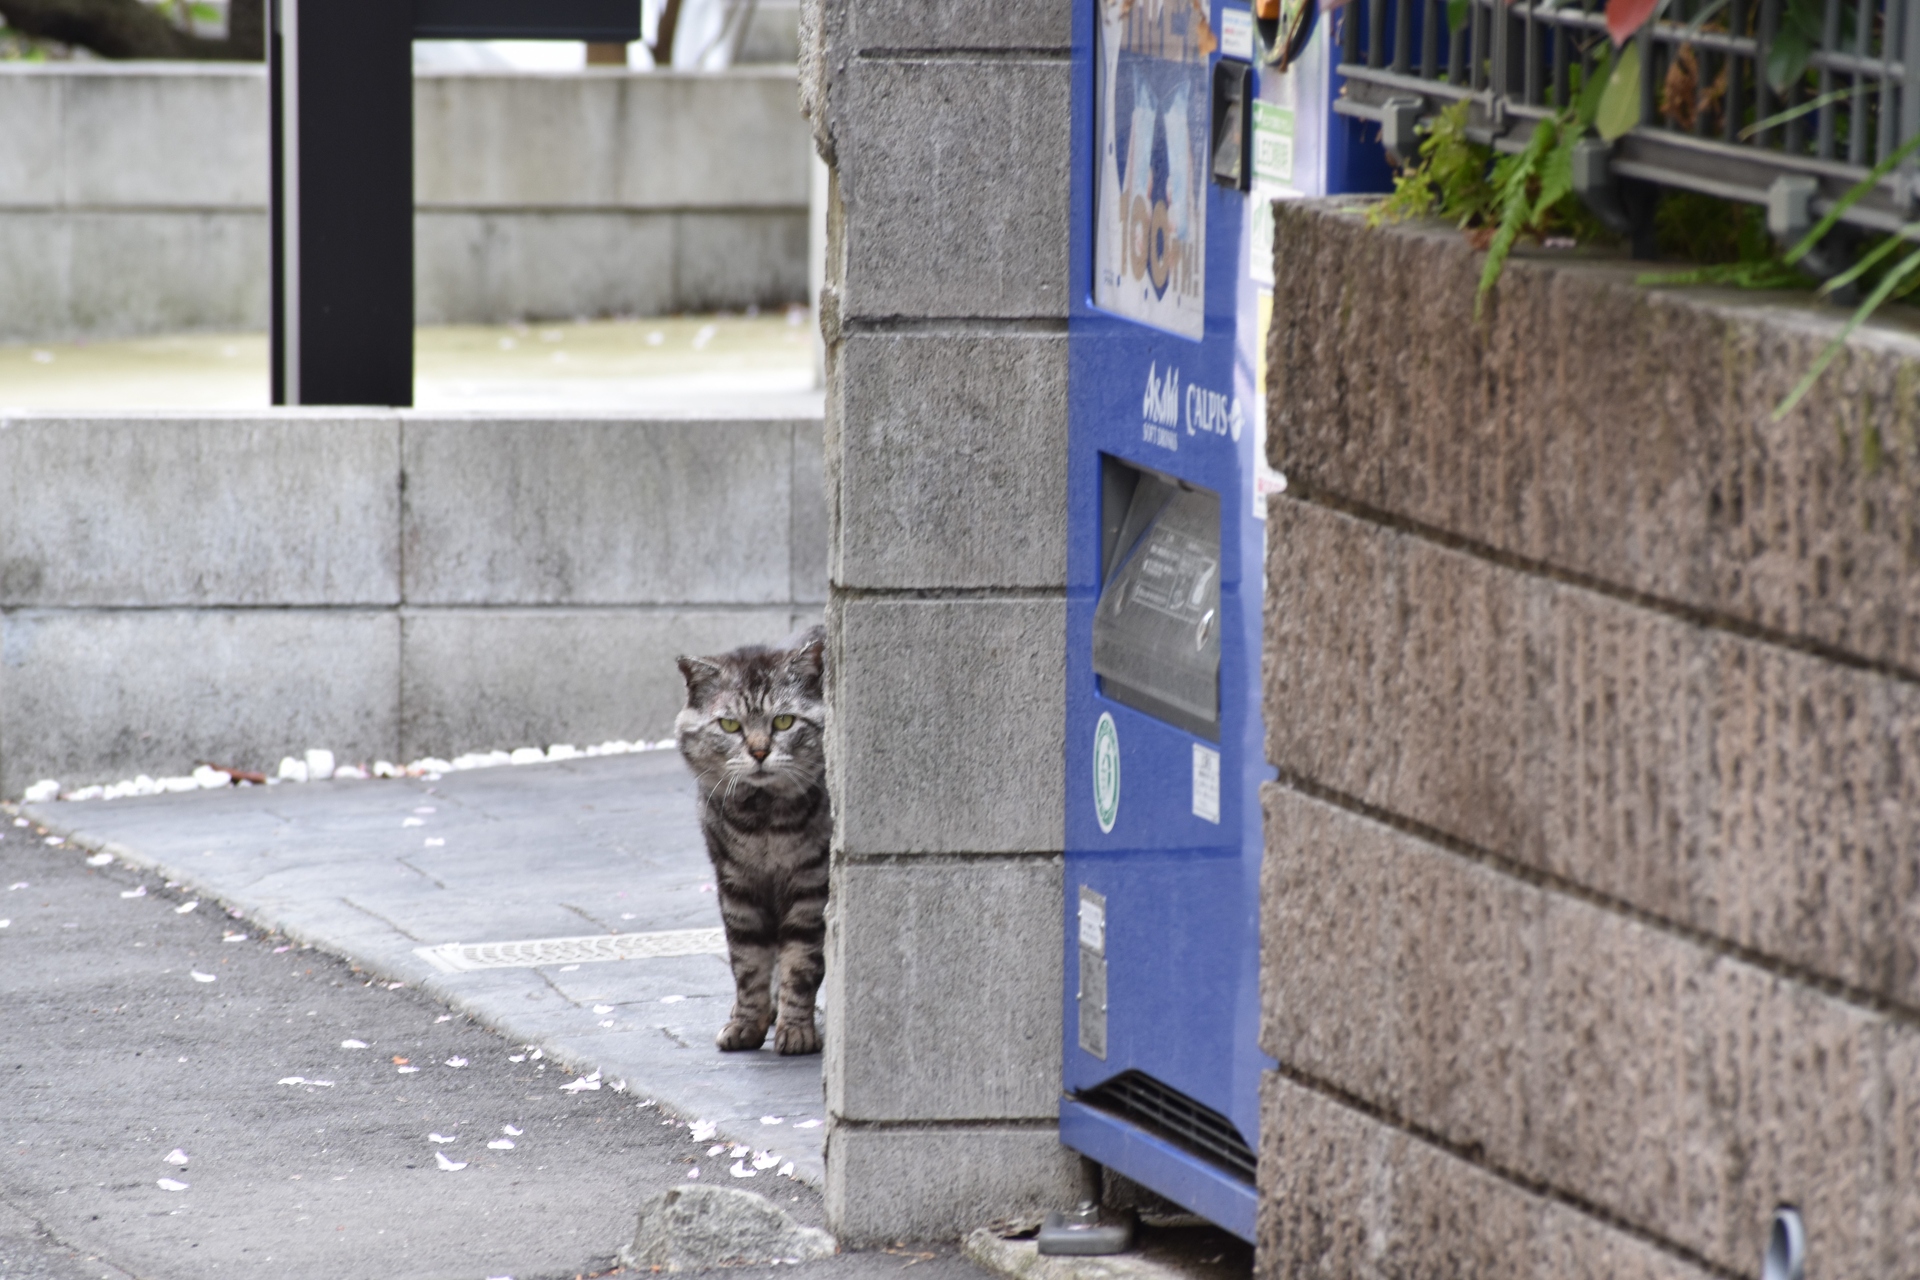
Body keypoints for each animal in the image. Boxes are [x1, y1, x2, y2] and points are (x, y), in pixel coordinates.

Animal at [672, 625, 829, 1059]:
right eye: (729, 726)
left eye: (784, 721)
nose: (759, 752)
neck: (763, 823)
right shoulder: (736, 884)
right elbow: (748, 963)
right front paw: (746, 1024)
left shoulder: (812, 884)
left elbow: (801, 963)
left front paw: (798, 1032)